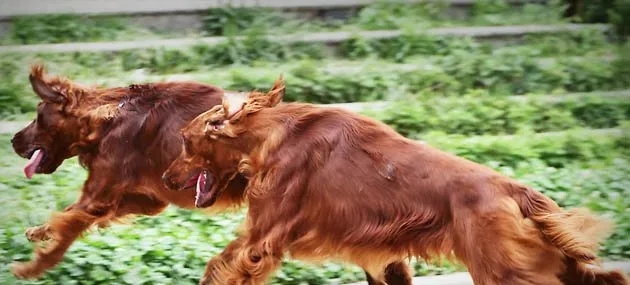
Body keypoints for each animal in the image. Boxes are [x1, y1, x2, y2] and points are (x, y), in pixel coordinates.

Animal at [164, 76, 630, 282]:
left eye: (184, 140)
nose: (166, 178)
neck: (275, 132)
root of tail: (517, 190)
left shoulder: (260, 240)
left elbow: (218, 268)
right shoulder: (381, 255)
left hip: (505, 271)